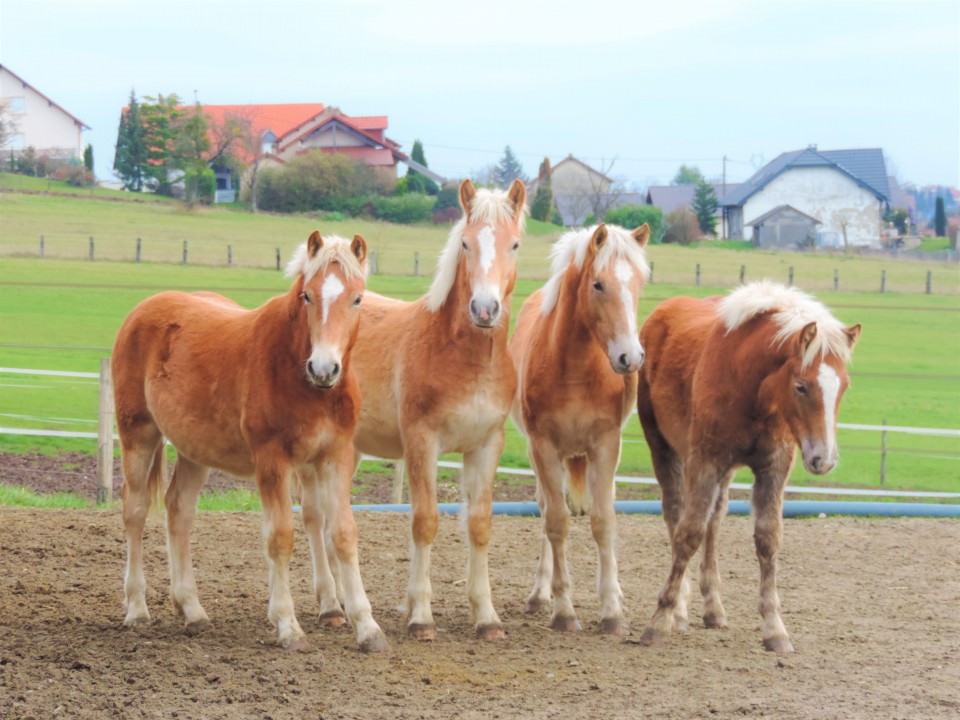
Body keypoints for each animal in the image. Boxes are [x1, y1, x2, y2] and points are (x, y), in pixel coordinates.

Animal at [115, 231, 390, 652]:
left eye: (357, 298)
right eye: (307, 295)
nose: (324, 368)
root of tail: (142, 310)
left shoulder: (337, 456)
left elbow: (343, 534)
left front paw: (367, 627)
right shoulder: (272, 461)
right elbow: (279, 537)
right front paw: (288, 626)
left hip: (195, 451)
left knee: (179, 510)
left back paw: (192, 610)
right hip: (138, 434)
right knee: (135, 509)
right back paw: (136, 609)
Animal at [338, 177, 528, 640]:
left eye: (514, 244)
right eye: (465, 243)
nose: (484, 308)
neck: (463, 358)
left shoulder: (486, 446)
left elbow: (479, 524)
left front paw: (486, 617)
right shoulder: (423, 442)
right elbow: (424, 522)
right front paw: (421, 617)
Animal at [510, 224, 652, 636]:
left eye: (639, 282)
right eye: (598, 284)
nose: (630, 358)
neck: (573, 370)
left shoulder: (606, 446)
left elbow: (604, 522)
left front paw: (612, 612)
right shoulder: (543, 448)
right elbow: (556, 522)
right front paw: (563, 610)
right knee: (546, 509)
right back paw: (540, 595)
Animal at [636, 282, 864, 652]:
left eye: (843, 386)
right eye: (801, 386)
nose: (824, 459)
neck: (751, 387)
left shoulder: (773, 467)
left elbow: (767, 539)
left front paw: (775, 629)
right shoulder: (705, 460)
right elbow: (688, 534)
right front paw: (660, 620)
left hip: (723, 473)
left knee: (714, 521)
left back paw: (713, 609)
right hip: (664, 448)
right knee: (676, 514)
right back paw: (680, 612)